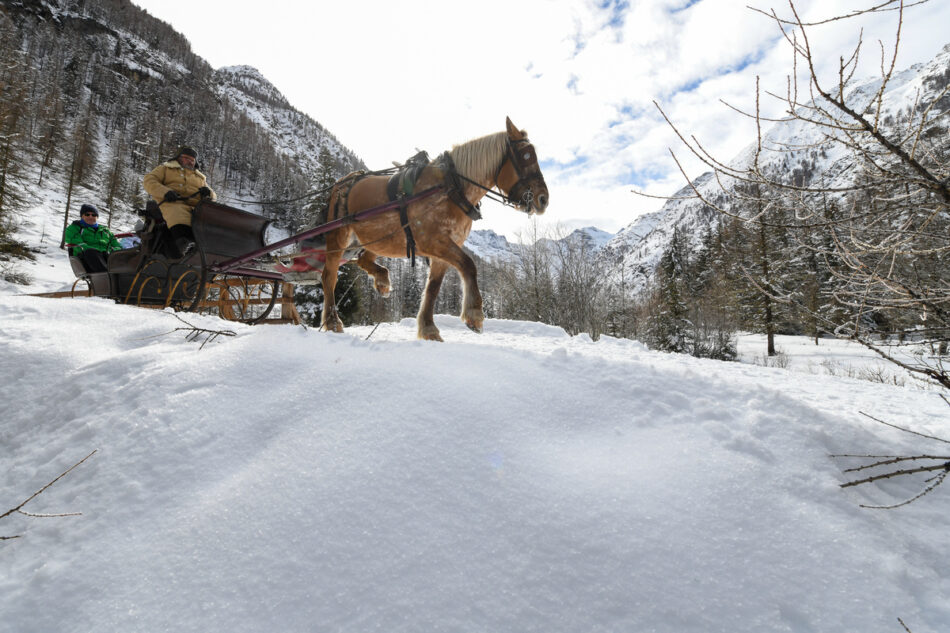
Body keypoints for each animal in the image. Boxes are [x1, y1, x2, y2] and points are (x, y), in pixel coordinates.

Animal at [320, 116, 549, 341]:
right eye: (526, 156)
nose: (543, 199)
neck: (452, 188)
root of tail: (342, 182)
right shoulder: (433, 241)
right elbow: (469, 265)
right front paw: (474, 314)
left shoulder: (443, 250)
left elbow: (433, 288)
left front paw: (428, 328)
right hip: (338, 237)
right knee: (329, 276)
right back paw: (332, 321)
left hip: (378, 240)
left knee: (362, 260)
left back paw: (382, 280)